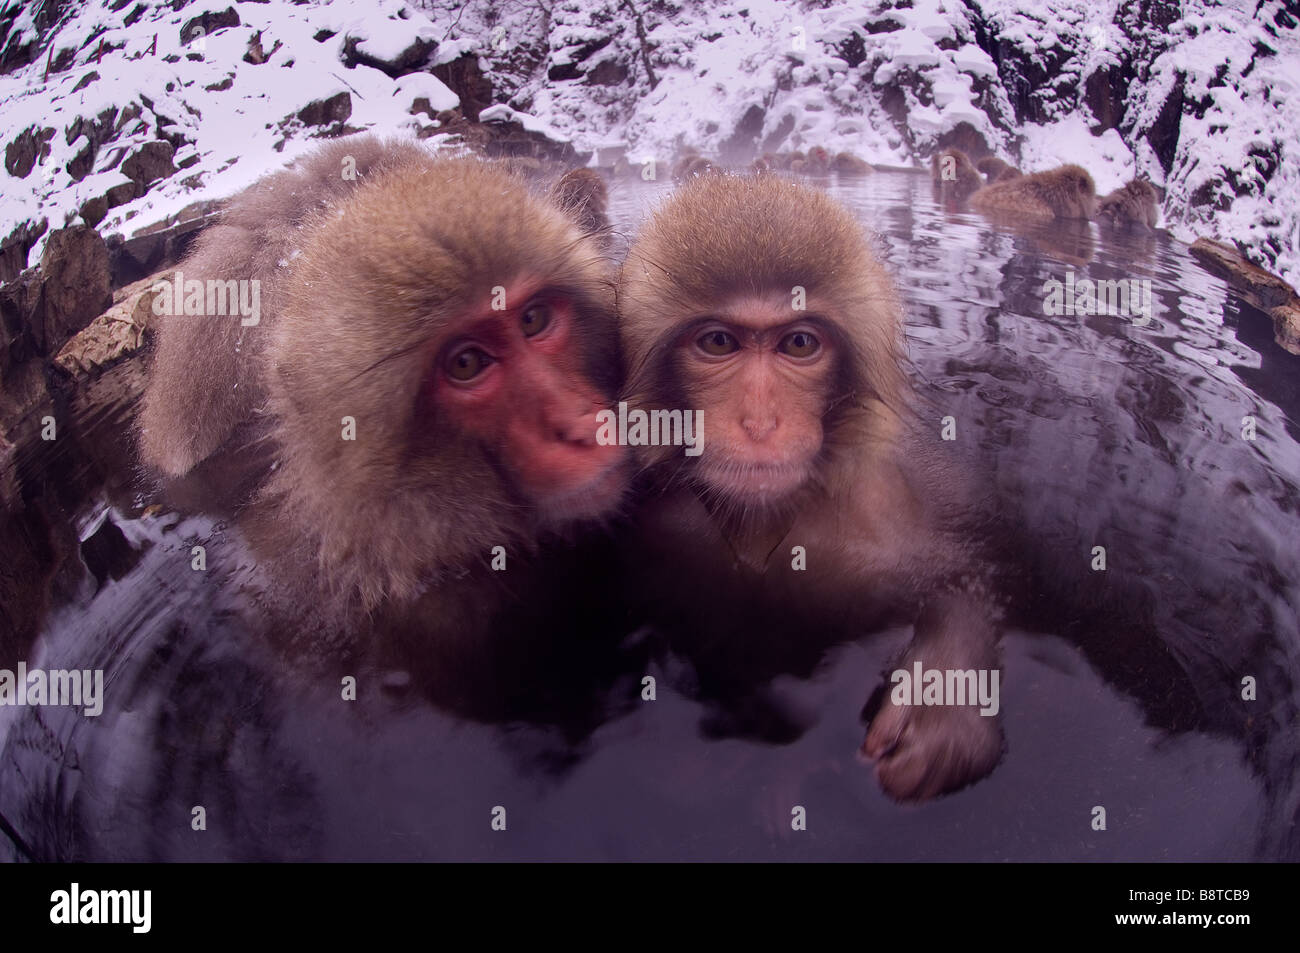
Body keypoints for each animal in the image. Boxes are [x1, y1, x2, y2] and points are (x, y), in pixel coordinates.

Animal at [618, 173, 1003, 800]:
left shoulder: (890, 525)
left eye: (799, 344)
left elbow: (962, 578)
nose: (759, 422)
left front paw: (946, 703)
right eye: (719, 343)